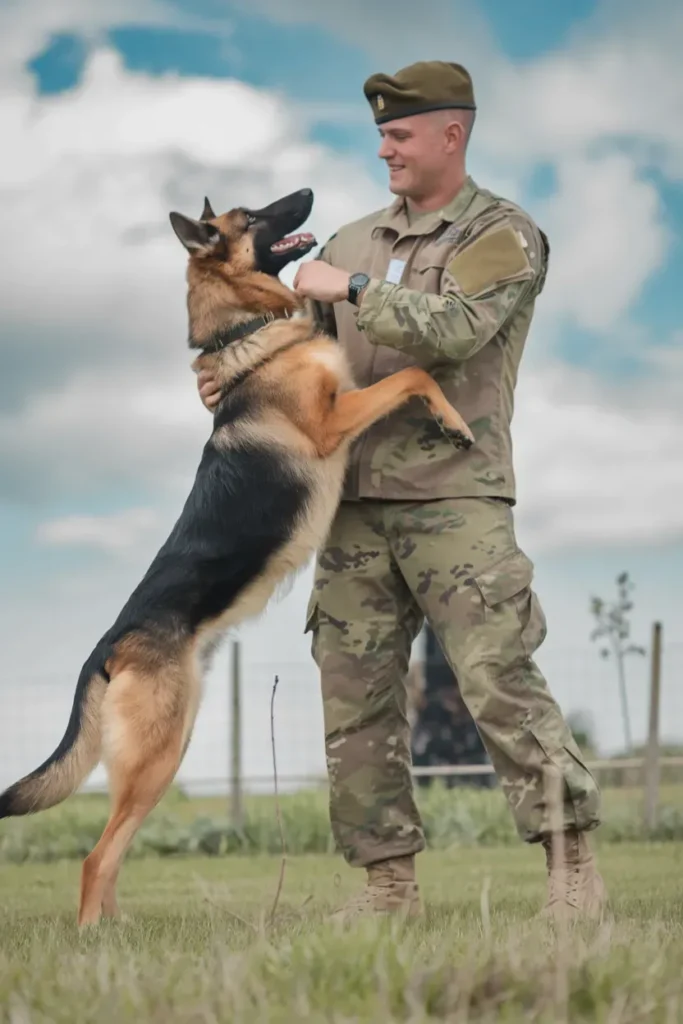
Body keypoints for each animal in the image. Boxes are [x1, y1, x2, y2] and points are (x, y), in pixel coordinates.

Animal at [0, 186, 475, 929]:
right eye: (250, 218)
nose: (306, 191)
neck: (248, 333)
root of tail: (107, 644)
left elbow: (407, 369)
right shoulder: (332, 423)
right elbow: (414, 373)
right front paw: (453, 422)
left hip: (168, 752)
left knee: (114, 850)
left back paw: (118, 931)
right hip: (158, 755)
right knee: (95, 856)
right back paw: (92, 937)